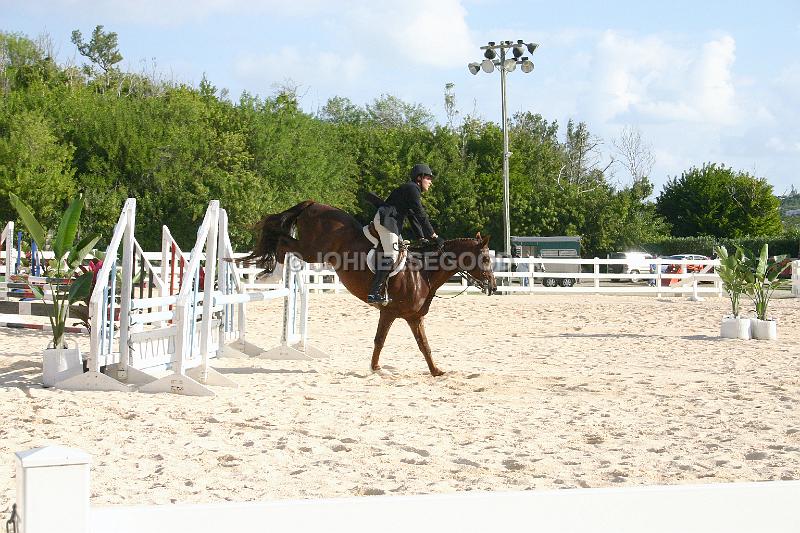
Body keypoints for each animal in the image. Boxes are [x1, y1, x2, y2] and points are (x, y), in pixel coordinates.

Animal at [245, 198, 494, 374]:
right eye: (486, 259)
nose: (492, 287)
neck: (423, 273)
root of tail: (313, 203)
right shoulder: (389, 311)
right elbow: (380, 340)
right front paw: (375, 369)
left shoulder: (413, 317)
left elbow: (424, 344)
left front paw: (436, 371)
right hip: (313, 250)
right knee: (282, 241)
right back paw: (272, 275)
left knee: (283, 240)